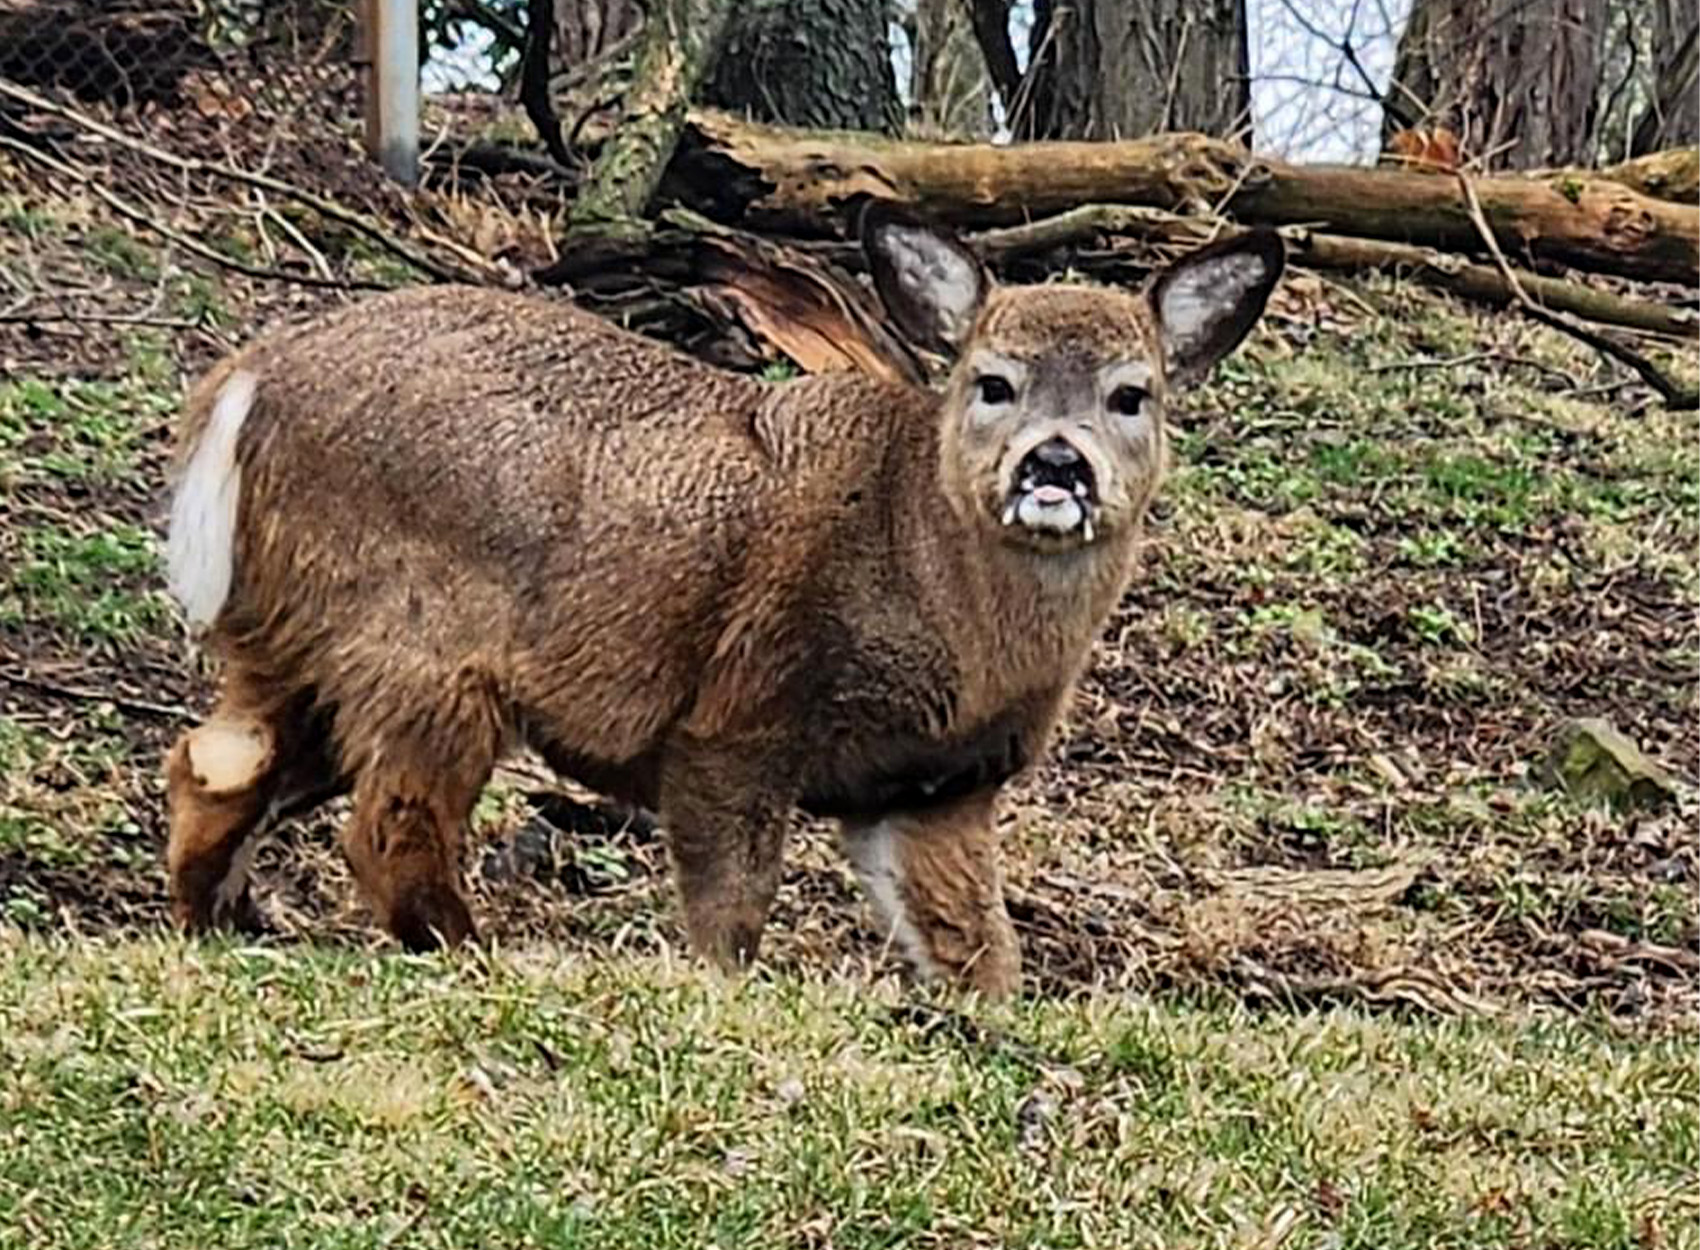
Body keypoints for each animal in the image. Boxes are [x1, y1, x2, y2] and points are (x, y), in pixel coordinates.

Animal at [162, 206, 1284, 997]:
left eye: (1131, 393)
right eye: (991, 381)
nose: (1055, 463)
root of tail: (246, 382)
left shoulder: (931, 787)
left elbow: (978, 951)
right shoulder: (740, 714)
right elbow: (729, 914)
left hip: (298, 636)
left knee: (216, 761)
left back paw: (226, 923)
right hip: (425, 639)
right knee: (383, 821)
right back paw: (466, 947)